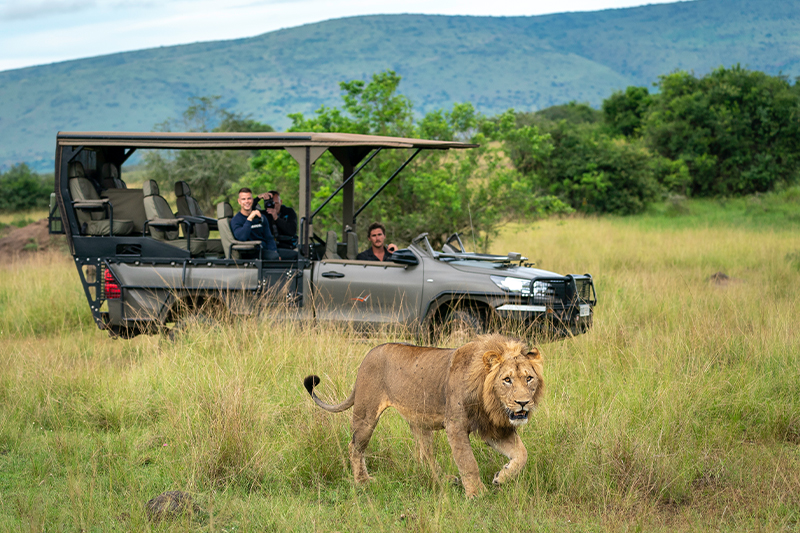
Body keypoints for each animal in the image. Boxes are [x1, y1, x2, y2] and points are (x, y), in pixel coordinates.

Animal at [303, 334, 544, 498]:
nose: (523, 403)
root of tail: (370, 352)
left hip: (419, 422)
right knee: (355, 446)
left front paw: (501, 477)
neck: (490, 402)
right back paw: (362, 481)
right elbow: (468, 462)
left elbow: (522, 454)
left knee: (425, 455)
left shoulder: (492, 428)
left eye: (529, 378)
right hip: (366, 414)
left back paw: (444, 480)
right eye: (507, 380)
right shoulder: (455, 426)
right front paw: (477, 494)